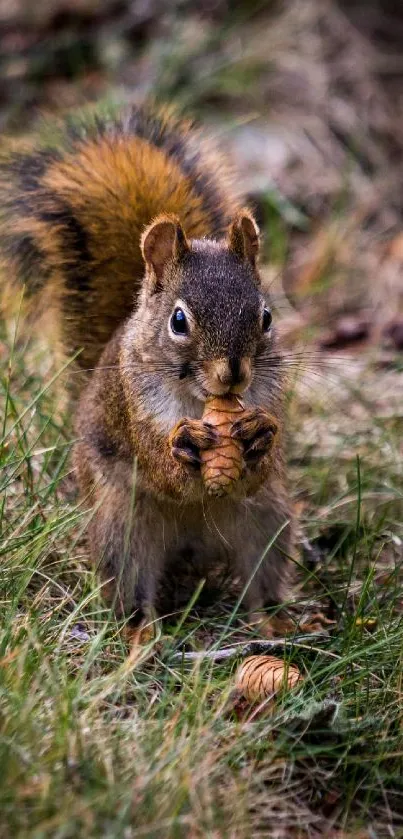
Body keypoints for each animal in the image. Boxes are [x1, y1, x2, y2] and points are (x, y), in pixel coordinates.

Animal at [0, 103, 296, 636]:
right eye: (178, 321)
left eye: (266, 317)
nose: (233, 375)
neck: (201, 402)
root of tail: (194, 547)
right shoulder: (133, 405)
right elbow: (158, 464)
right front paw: (183, 447)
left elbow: (260, 467)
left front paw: (261, 433)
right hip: (123, 525)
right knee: (130, 583)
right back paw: (142, 632)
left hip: (268, 520)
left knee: (260, 576)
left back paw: (273, 622)